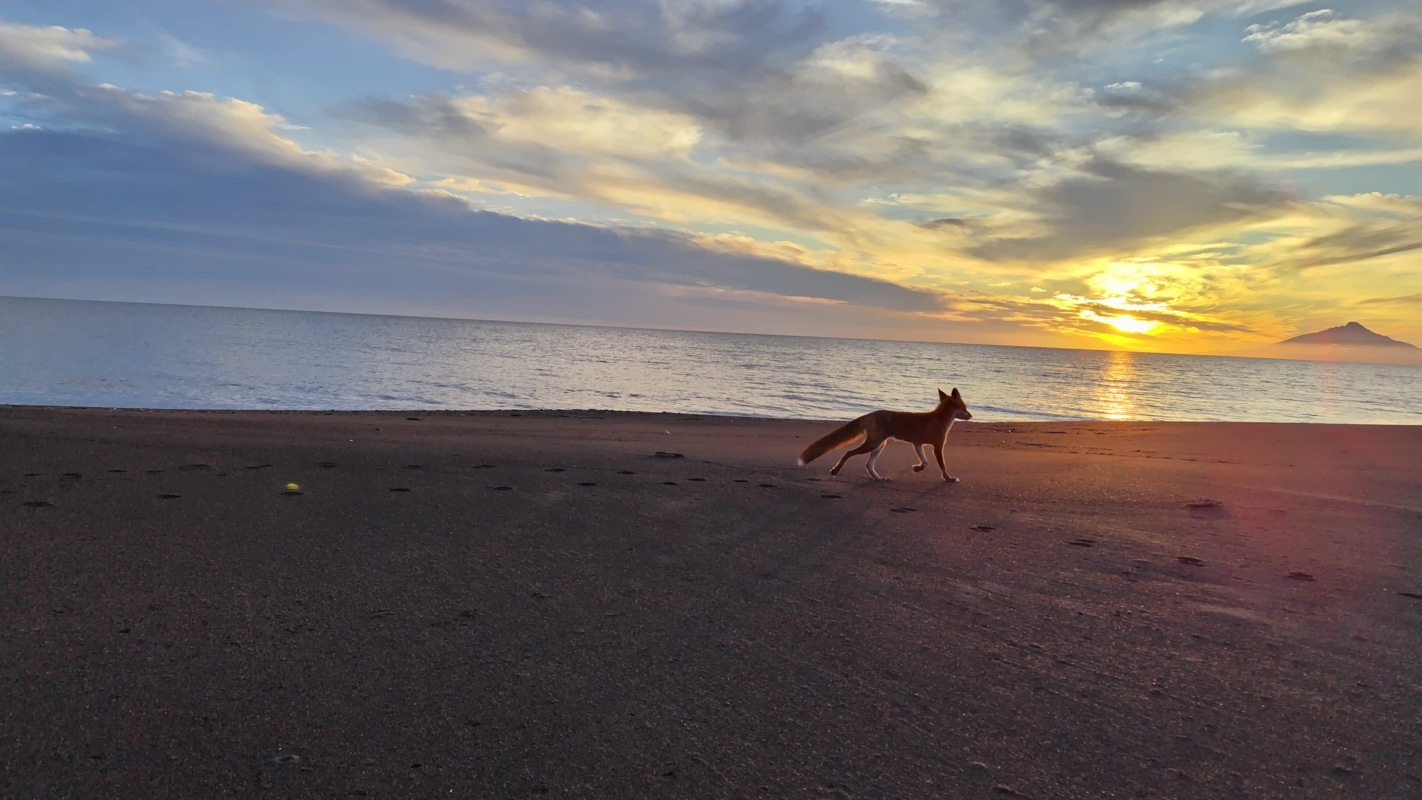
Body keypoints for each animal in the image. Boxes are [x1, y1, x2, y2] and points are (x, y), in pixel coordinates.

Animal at [802, 389, 966, 483]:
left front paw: (917, 468)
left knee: (868, 465)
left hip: (879, 445)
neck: (939, 419)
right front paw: (949, 479)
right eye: (965, 408)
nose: (970, 415)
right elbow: (943, 467)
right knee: (849, 453)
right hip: (873, 444)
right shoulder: (938, 447)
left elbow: (925, 462)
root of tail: (871, 414)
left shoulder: (917, 444)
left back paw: (878, 478)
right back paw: (836, 470)